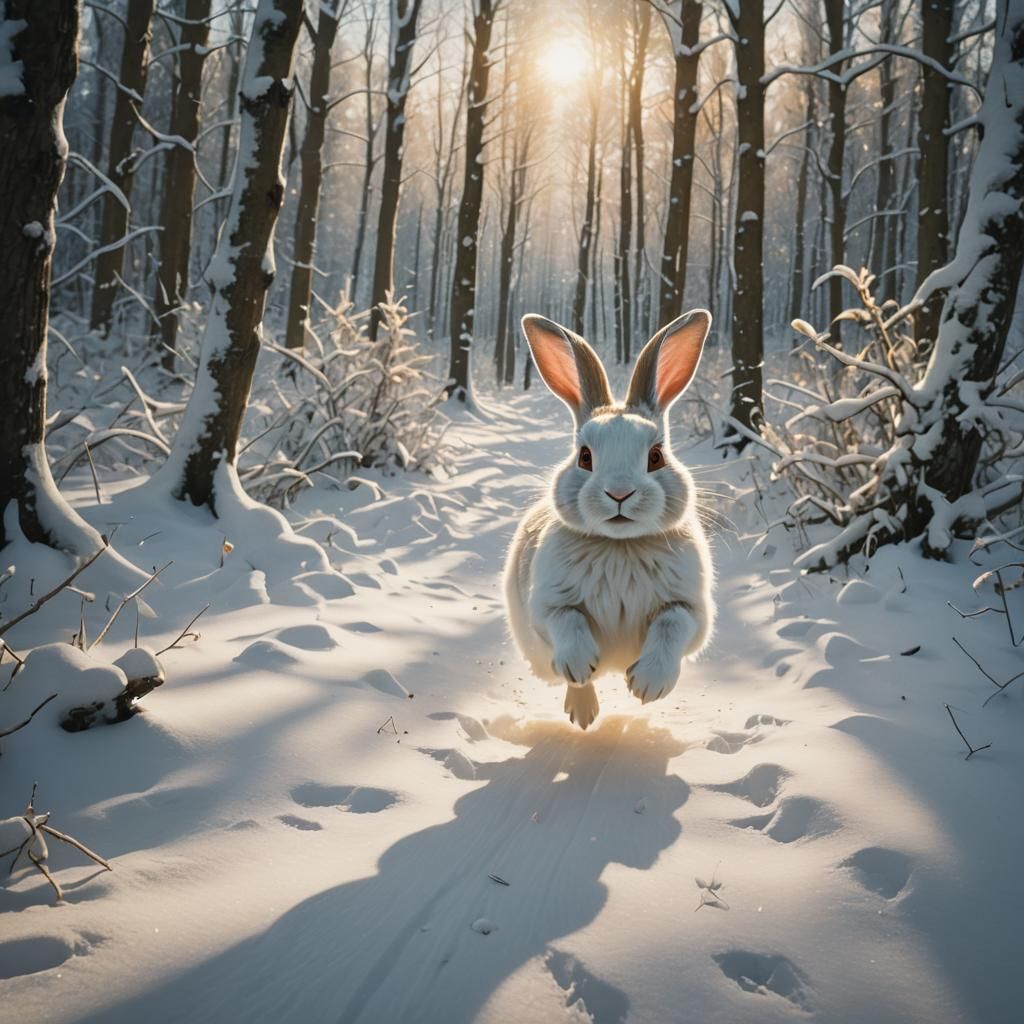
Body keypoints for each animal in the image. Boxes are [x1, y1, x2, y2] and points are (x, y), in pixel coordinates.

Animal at [503, 309, 716, 729]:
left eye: (656, 457)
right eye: (585, 457)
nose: (619, 494)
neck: (620, 546)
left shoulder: (691, 609)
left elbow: (672, 623)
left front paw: (647, 686)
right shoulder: (548, 606)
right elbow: (567, 621)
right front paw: (581, 666)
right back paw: (583, 713)